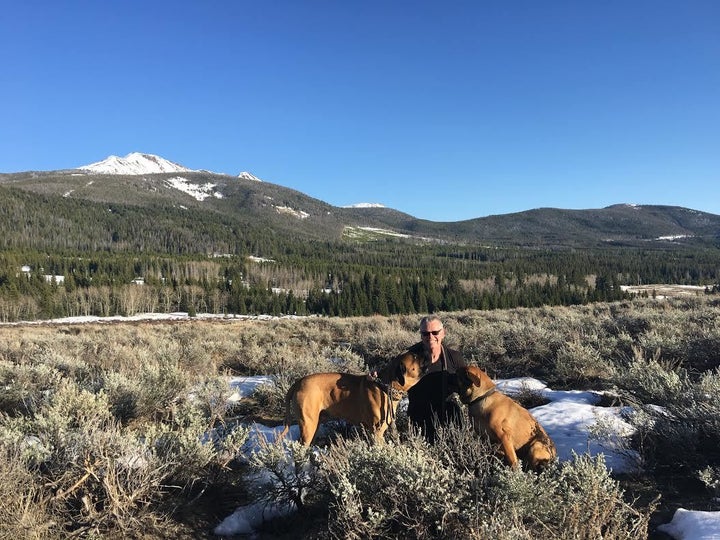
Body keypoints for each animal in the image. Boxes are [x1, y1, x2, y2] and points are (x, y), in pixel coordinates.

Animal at [280, 352, 428, 446]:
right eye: (415, 356)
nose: (426, 352)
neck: (385, 386)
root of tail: (298, 382)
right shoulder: (377, 433)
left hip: (315, 424)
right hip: (308, 425)